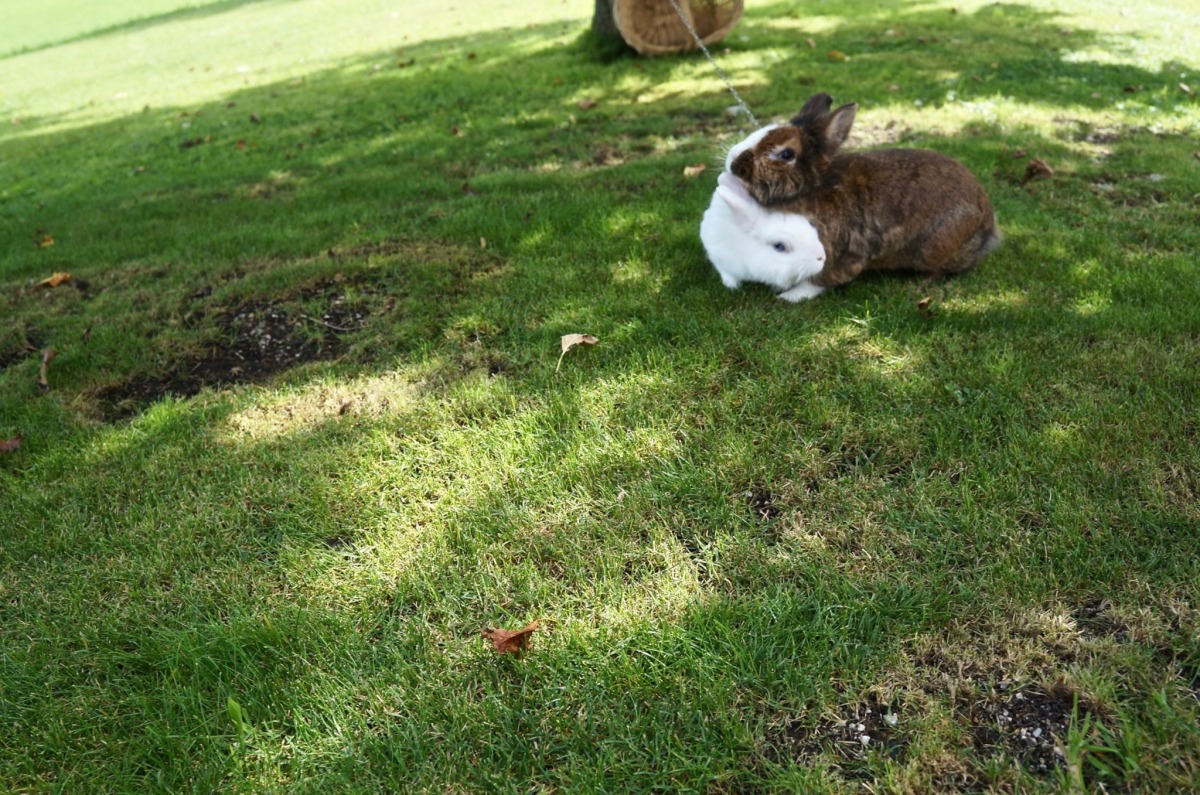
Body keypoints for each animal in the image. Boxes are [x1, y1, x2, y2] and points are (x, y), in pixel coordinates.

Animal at [724, 92, 1002, 291]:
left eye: (785, 154)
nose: (734, 166)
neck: (816, 186)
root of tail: (988, 230)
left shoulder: (837, 252)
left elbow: (820, 279)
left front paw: (791, 296)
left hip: (935, 245)